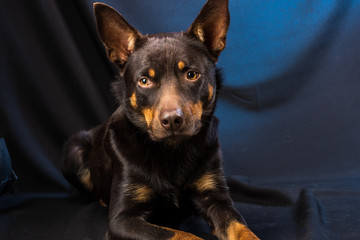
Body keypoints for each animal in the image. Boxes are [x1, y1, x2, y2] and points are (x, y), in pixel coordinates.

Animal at [62, 0, 258, 239]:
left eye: (191, 75)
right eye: (144, 81)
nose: (172, 120)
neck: (171, 151)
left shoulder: (216, 199)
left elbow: (243, 230)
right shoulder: (122, 220)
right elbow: (182, 234)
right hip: (73, 149)